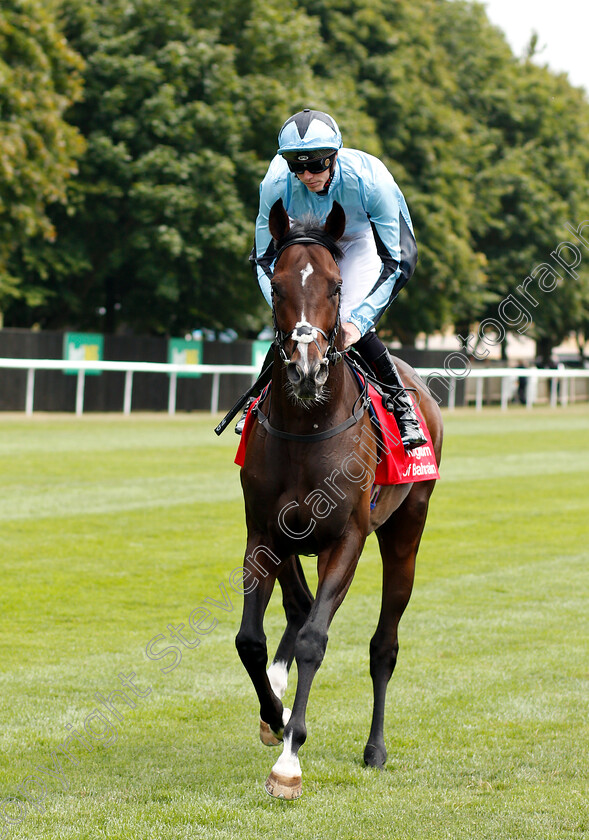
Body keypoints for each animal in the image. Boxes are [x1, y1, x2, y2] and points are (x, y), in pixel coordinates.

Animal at [234, 199, 440, 800]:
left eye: (335, 285)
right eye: (278, 285)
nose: (306, 368)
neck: (307, 425)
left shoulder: (346, 538)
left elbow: (313, 640)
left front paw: (289, 761)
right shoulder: (264, 532)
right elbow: (251, 639)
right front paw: (274, 715)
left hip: (406, 530)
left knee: (383, 643)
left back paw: (375, 748)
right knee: (297, 606)